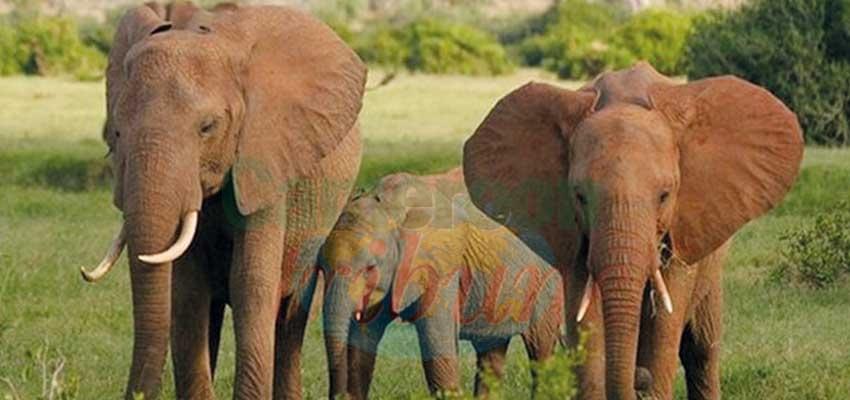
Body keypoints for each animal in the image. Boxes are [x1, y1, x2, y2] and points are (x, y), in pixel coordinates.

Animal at [81, 3, 366, 400]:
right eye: (117, 133)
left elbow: (251, 283)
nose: (136, 393)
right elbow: (187, 291)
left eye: (207, 127)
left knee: (290, 314)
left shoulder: (265, 157)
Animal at [318, 167, 564, 398]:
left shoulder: (440, 265)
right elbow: (363, 341)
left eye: (370, 268)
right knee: (491, 354)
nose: (338, 394)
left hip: (546, 280)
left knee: (541, 348)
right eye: (321, 268)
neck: (391, 207)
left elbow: (437, 342)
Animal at [464, 61, 800, 398]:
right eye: (579, 196)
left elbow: (666, 320)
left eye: (665, 195)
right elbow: (587, 318)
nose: (639, 378)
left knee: (702, 350)